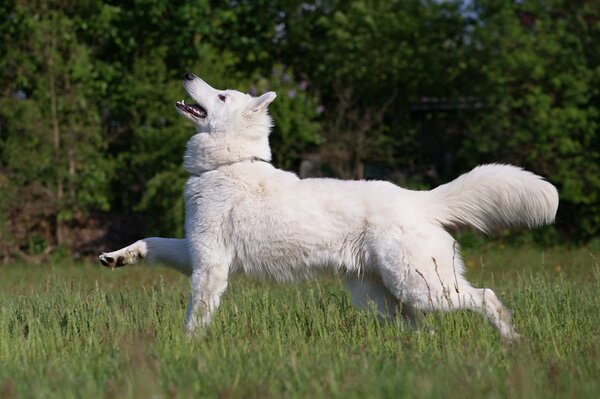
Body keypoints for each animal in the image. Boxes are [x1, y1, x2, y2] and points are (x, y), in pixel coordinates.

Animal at [99, 72, 556, 340]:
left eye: (222, 95)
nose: (187, 73)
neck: (228, 164)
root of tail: (420, 199)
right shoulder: (193, 250)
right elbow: (152, 241)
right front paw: (118, 257)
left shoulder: (210, 265)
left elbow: (197, 313)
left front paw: (188, 347)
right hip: (383, 297)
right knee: (419, 326)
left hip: (424, 287)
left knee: (486, 297)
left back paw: (512, 342)